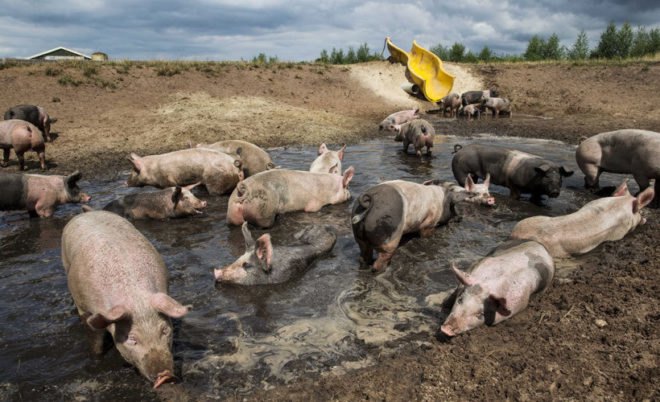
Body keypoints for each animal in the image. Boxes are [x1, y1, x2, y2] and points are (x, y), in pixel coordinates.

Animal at [61, 211, 189, 388]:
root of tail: (87, 213)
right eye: (132, 338)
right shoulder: (85, 308)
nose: (165, 375)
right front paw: (96, 357)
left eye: (164, 330)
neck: (135, 298)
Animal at [227, 167, 355, 228]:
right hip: (263, 210)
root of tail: (244, 189)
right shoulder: (314, 204)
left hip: (232, 211)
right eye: (347, 186)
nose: (351, 196)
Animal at [351, 178, 494, 272]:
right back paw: (385, 269)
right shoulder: (428, 223)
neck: (442, 198)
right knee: (379, 262)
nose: (460, 218)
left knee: (363, 256)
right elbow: (426, 233)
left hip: (359, 238)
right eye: (452, 206)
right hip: (389, 238)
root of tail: (368, 203)